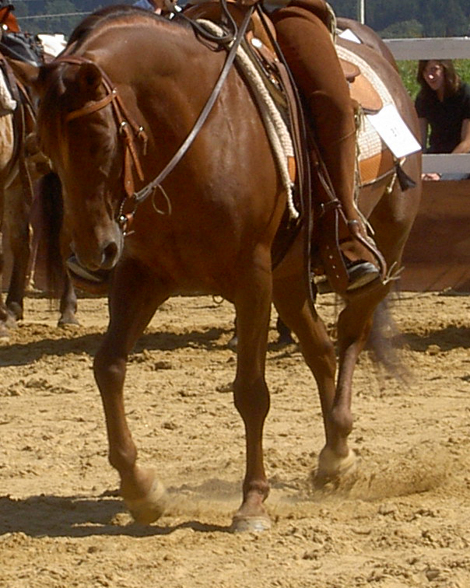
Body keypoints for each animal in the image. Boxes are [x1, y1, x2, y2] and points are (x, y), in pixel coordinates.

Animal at [17, 8, 422, 532]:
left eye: (100, 138)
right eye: (44, 144)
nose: (91, 252)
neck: (194, 134)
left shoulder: (252, 278)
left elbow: (251, 391)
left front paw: (252, 502)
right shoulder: (141, 274)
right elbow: (108, 367)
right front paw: (141, 488)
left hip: (384, 248)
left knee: (351, 334)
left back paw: (339, 448)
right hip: (289, 278)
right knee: (322, 350)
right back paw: (333, 457)